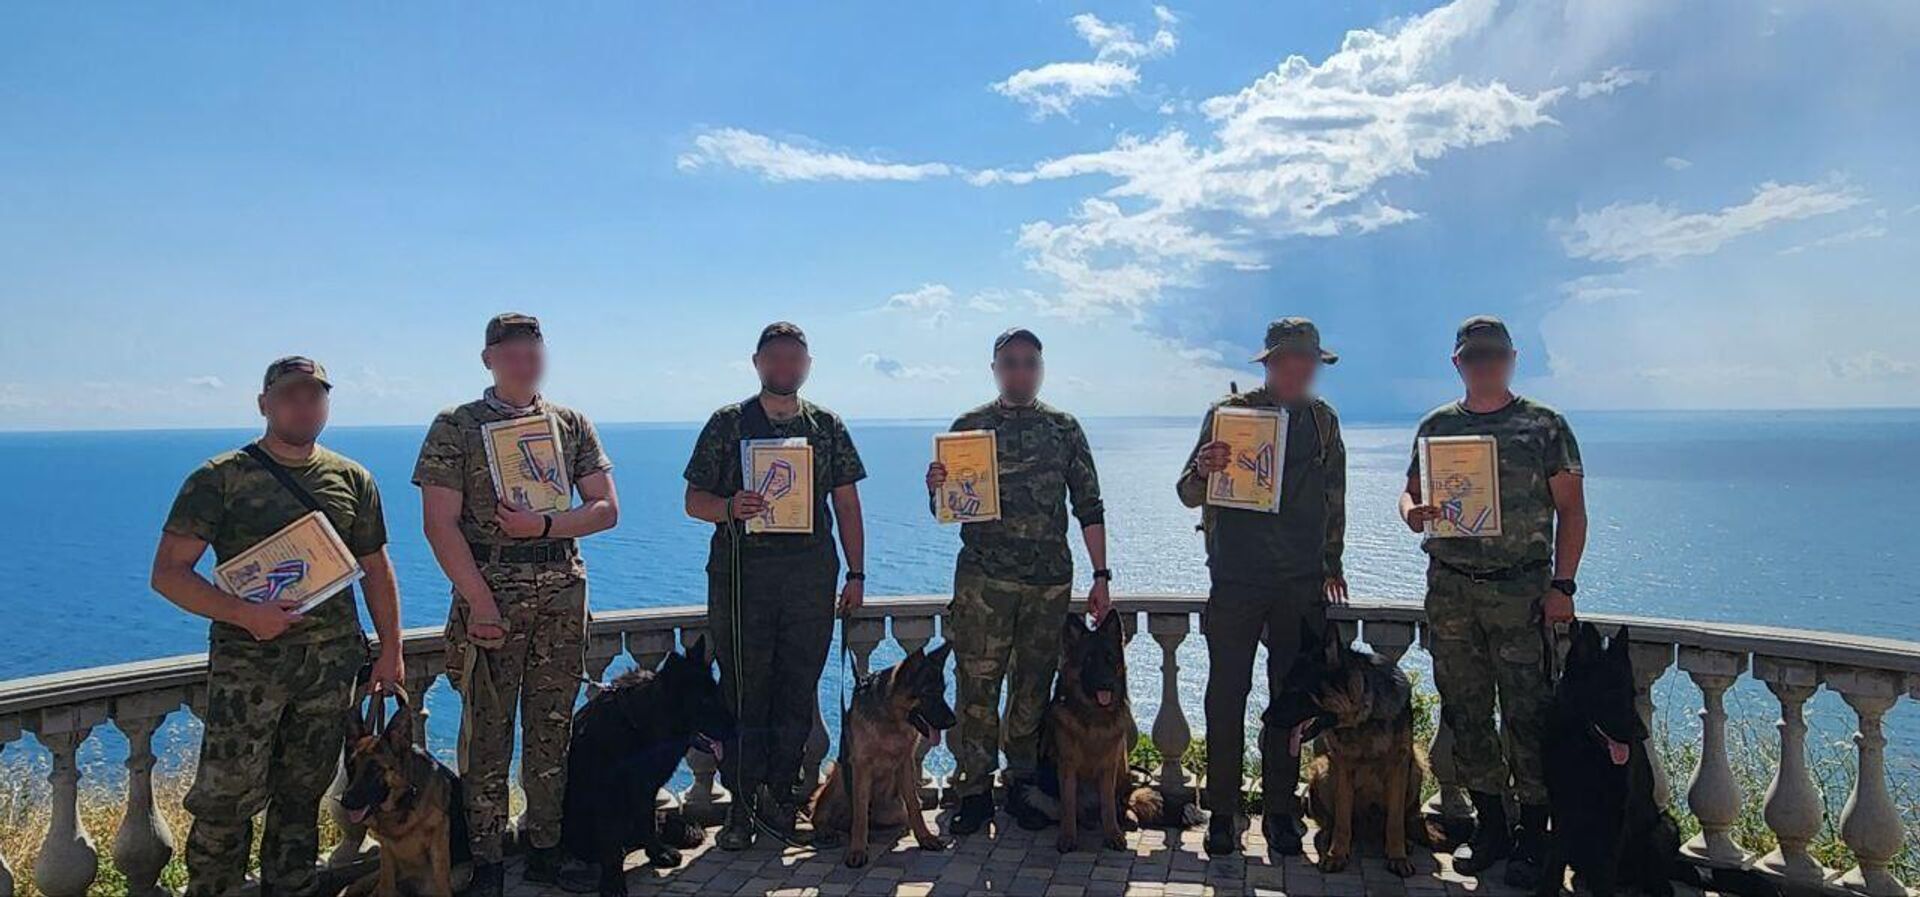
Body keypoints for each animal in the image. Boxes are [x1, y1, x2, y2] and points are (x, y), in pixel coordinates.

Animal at [339, 691, 470, 895]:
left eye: (375, 768)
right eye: (351, 766)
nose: (345, 801)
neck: (405, 800)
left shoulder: (439, 839)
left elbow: (441, 881)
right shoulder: (386, 851)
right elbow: (386, 885)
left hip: (459, 876)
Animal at [560, 637, 733, 897]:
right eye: (704, 701)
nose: (736, 727)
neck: (641, 723)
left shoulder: (647, 788)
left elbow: (648, 821)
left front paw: (657, 852)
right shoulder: (609, 795)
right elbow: (611, 839)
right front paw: (613, 882)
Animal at [810, 645, 960, 872]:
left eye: (942, 692)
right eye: (928, 693)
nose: (953, 722)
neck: (890, 718)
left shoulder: (906, 764)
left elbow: (914, 805)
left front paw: (924, 837)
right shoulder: (861, 766)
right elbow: (860, 814)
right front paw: (857, 850)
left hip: (894, 809)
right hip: (836, 777)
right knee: (819, 813)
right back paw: (826, 830)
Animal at [1029, 614, 1190, 852]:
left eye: (1109, 658)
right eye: (1088, 659)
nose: (1106, 684)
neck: (1094, 716)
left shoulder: (1109, 765)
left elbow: (1108, 805)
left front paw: (1113, 834)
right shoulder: (1067, 766)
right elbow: (1069, 804)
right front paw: (1068, 836)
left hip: (1123, 768)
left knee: (1124, 800)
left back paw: (1127, 816)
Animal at [1267, 626, 1436, 879]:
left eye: (1295, 690)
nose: (1264, 718)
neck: (1365, 715)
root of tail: (1367, 825)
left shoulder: (1399, 764)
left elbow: (1395, 821)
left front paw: (1397, 856)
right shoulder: (1343, 766)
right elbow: (1343, 817)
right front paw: (1336, 854)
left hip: (1416, 768)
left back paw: (1403, 842)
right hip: (1323, 770)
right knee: (1334, 821)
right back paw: (1328, 838)